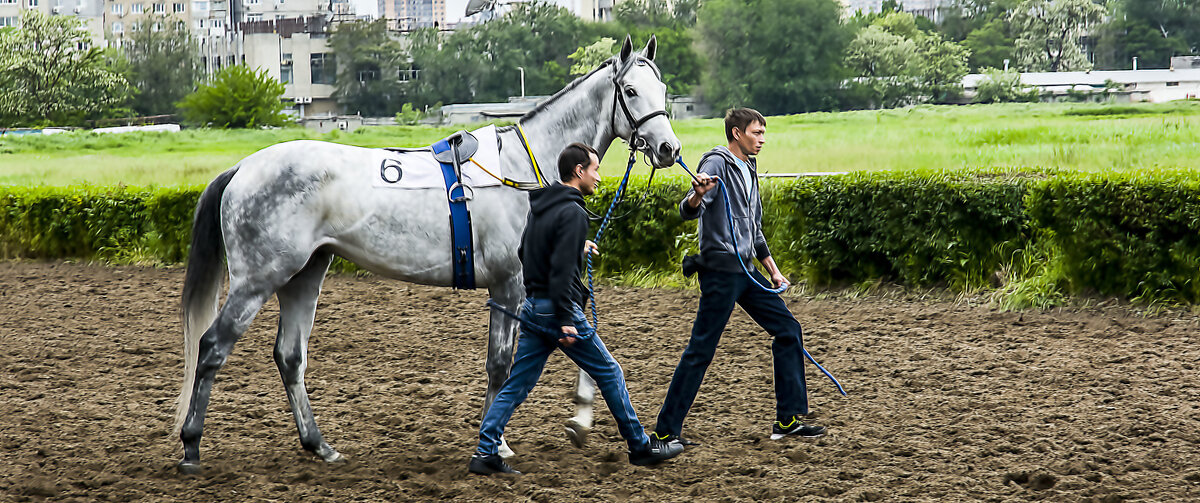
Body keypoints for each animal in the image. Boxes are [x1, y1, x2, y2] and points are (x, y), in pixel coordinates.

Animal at [174, 36, 681, 472]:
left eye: (663, 89)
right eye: (631, 90)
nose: (669, 148)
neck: (524, 169)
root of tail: (243, 167)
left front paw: (577, 419)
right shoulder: (510, 284)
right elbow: (503, 365)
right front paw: (499, 444)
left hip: (305, 275)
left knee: (289, 356)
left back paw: (319, 445)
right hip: (258, 280)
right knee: (213, 346)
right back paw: (191, 446)